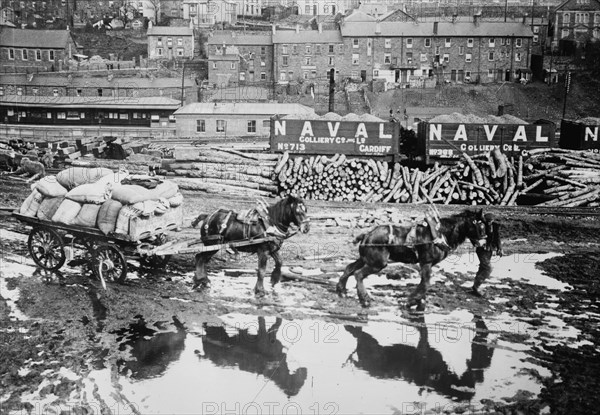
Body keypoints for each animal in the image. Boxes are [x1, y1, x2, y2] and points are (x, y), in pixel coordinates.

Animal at [336, 208, 490, 308]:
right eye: (481, 225)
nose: (484, 243)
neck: (440, 233)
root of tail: (367, 234)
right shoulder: (426, 262)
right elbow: (426, 283)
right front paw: (411, 301)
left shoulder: (427, 264)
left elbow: (423, 282)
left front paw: (419, 300)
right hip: (377, 263)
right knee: (358, 274)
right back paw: (365, 299)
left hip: (366, 259)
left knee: (350, 268)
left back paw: (341, 289)